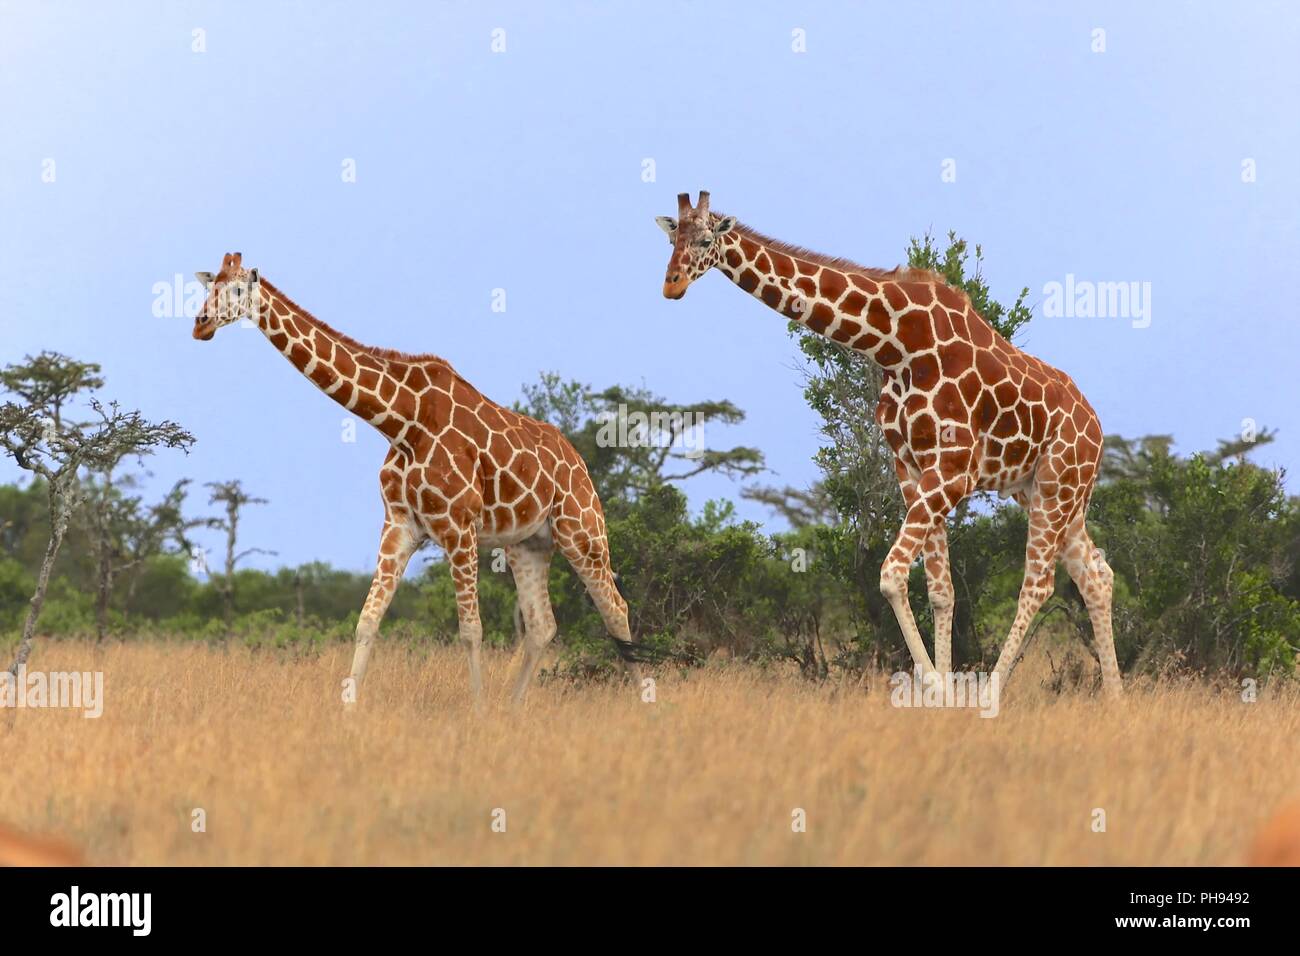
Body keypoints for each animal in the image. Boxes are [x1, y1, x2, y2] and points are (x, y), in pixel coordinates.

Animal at [192, 252, 641, 704]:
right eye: (209, 286)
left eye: (237, 289)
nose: (201, 324)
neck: (402, 423)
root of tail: (578, 459)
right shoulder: (400, 524)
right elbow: (367, 621)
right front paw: (347, 707)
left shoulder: (459, 527)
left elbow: (470, 631)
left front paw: (478, 708)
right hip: (528, 544)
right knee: (542, 624)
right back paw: (514, 707)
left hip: (581, 530)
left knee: (617, 610)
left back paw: (643, 700)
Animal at [657, 193, 1121, 698]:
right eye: (671, 238)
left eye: (706, 240)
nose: (671, 285)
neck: (897, 344)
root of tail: (1097, 429)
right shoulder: (911, 467)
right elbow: (940, 591)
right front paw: (941, 691)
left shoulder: (953, 471)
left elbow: (892, 574)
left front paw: (940, 689)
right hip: (1046, 492)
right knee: (1098, 575)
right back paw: (1115, 697)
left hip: (1058, 485)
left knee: (1037, 586)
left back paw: (991, 695)